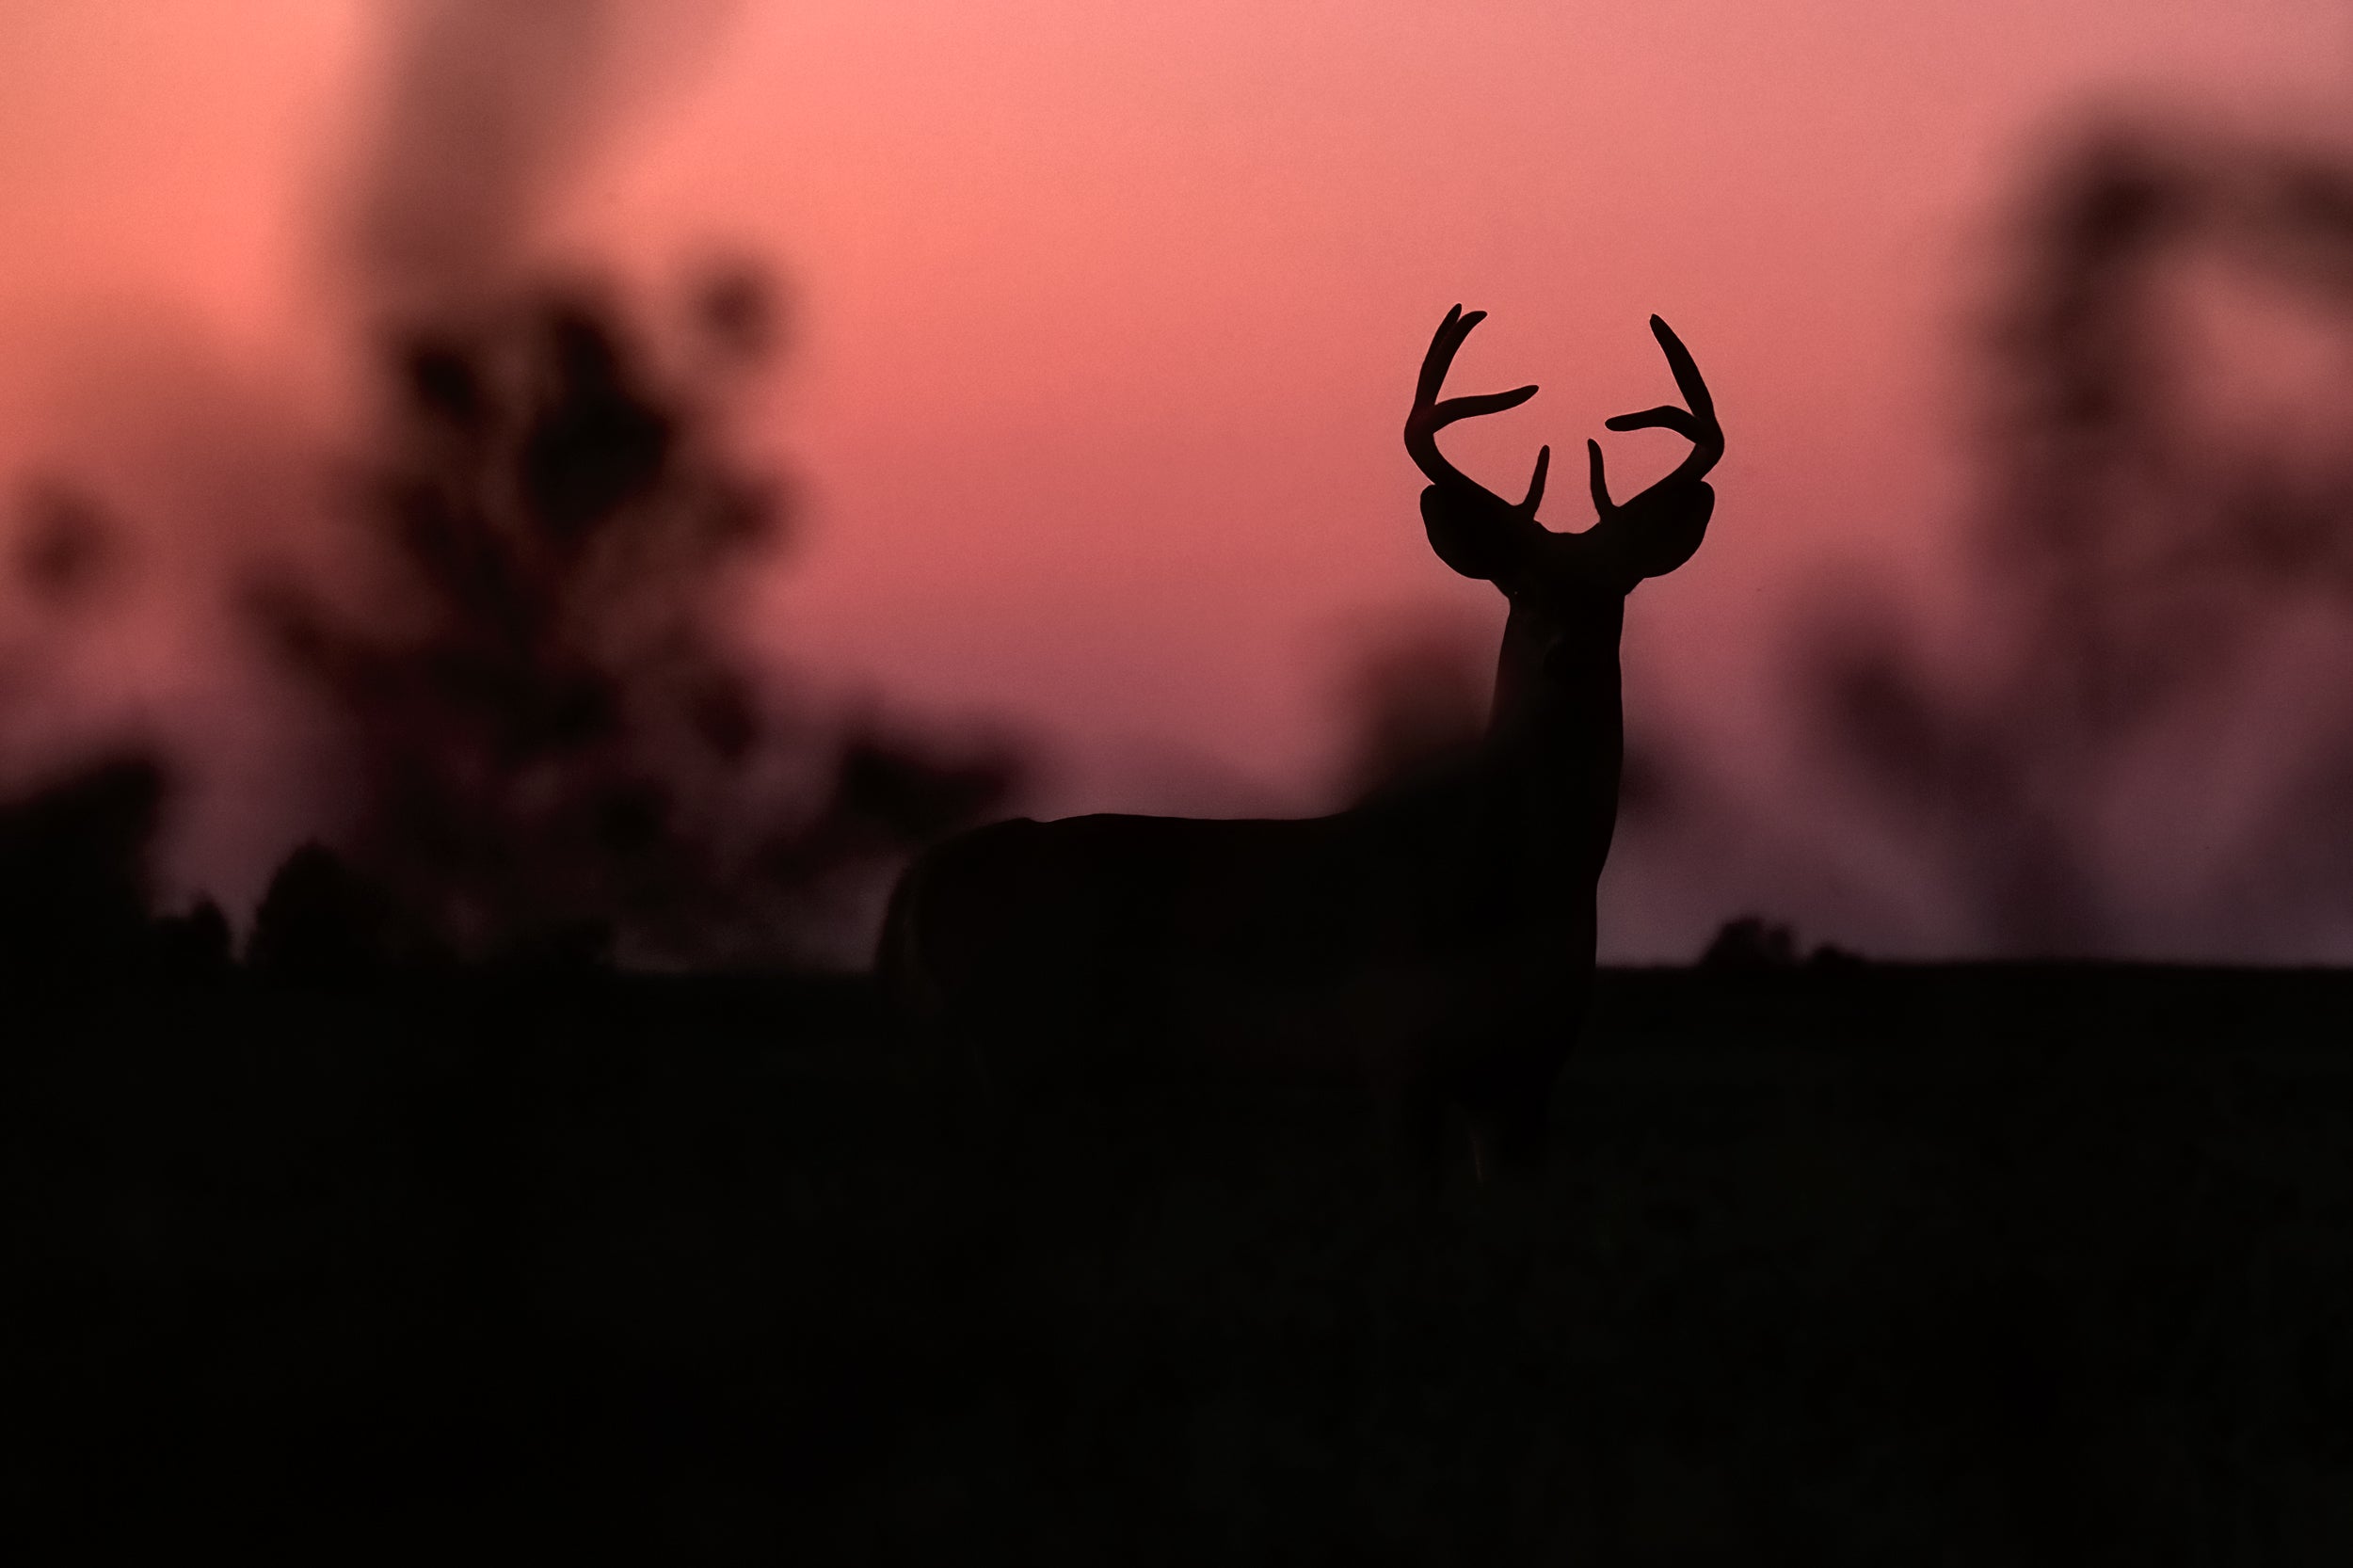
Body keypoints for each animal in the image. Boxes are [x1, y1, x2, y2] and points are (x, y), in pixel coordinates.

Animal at [878, 306, 1722, 1182]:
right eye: (1520, 588)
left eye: (1614, 591)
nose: (1564, 653)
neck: (1518, 883)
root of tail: (919, 880)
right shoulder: (1398, 1050)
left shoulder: (1525, 1080)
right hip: (1019, 1043)